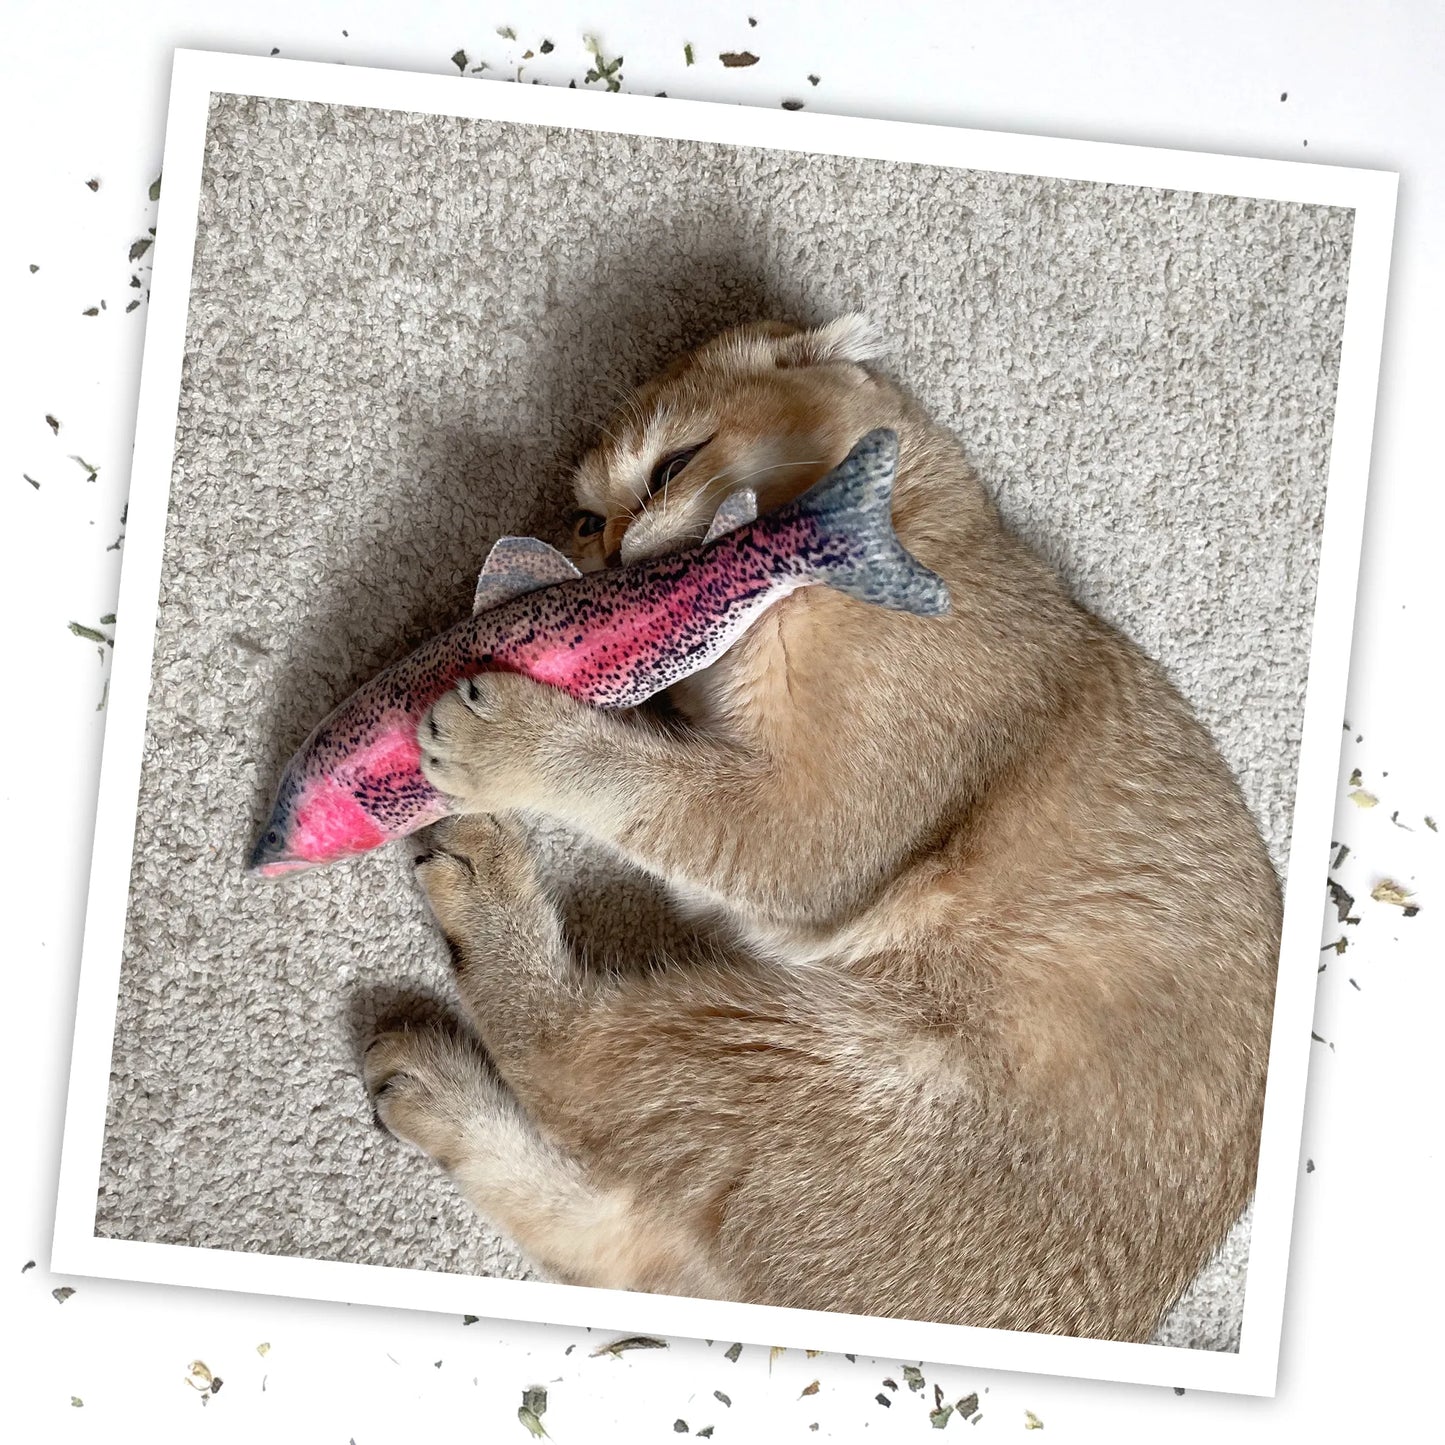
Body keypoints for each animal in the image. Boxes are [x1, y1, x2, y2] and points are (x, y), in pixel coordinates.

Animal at [358, 316, 1277, 1340]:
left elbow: (649, 780)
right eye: (587, 520)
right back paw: (435, 1094)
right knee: (608, 1229)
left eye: (673, 464)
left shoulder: (808, 829)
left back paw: (482, 895)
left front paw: (521, 735)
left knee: (569, 1059)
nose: (613, 549)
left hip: (819, 1064)